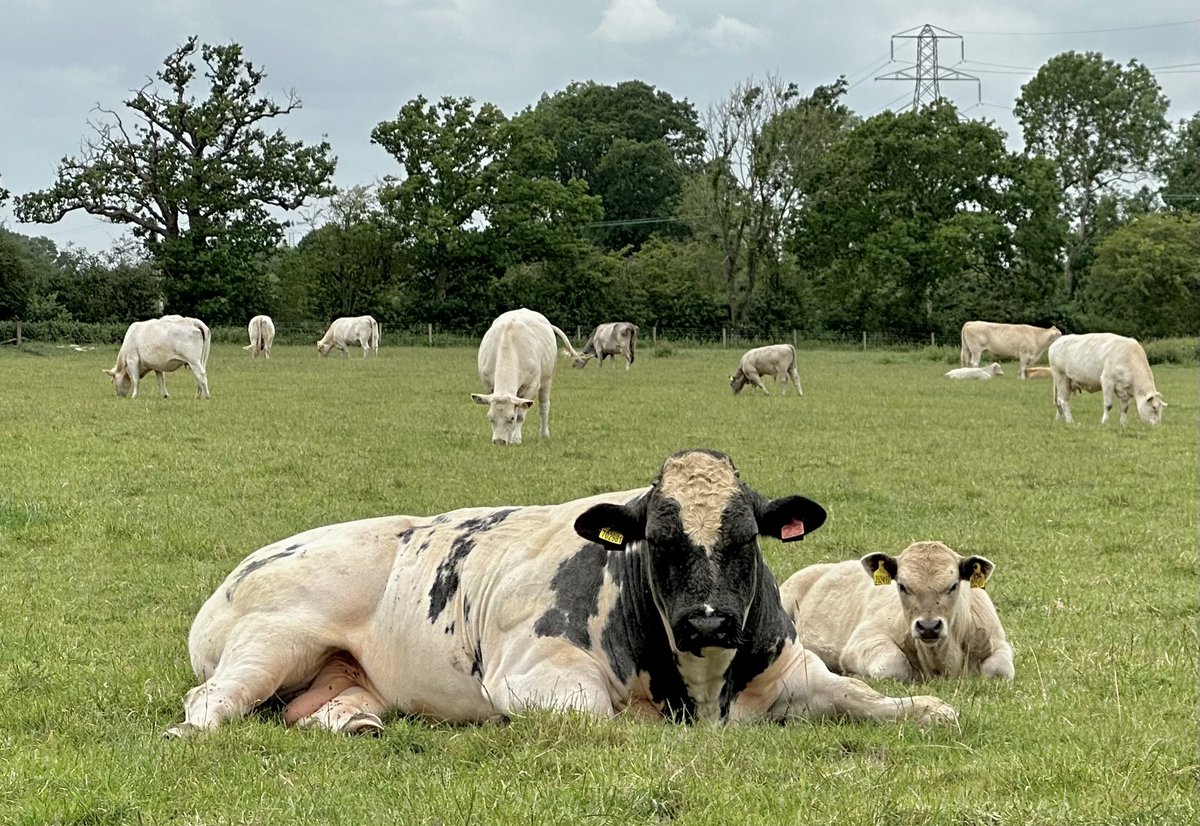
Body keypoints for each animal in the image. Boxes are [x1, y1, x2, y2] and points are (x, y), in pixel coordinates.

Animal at [165, 449, 957, 739]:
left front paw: (925, 708)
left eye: (745, 540)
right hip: (271, 643)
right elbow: (607, 719)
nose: (708, 622)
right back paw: (193, 728)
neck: (700, 684)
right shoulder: (535, 677)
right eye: (658, 541)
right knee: (208, 701)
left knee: (328, 710)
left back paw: (355, 723)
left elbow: (882, 701)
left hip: (348, 679)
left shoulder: (793, 671)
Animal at [471, 308, 584, 445]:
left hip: (547, 379)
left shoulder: (532, 386)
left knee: (544, 406)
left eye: (511, 418)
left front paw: (516, 438)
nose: (499, 441)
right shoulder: (489, 386)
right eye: (490, 417)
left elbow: (520, 415)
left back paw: (544, 434)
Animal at [780, 541, 1014, 683]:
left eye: (953, 585)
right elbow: (894, 666)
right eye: (902, 586)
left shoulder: (998, 644)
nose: (928, 626)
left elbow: (998, 671)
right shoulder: (862, 641)